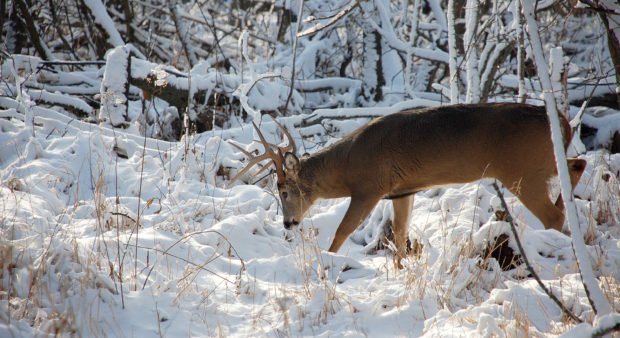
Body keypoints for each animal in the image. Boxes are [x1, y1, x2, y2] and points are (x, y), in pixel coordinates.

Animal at [228, 101, 588, 268]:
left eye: (284, 190)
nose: (289, 223)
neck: (347, 164)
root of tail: (564, 122)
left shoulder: (369, 187)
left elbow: (343, 230)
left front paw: (327, 261)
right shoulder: (403, 190)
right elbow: (401, 234)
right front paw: (401, 269)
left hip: (521, 171)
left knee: (553, 213)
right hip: (542, 164)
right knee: (578, 164)